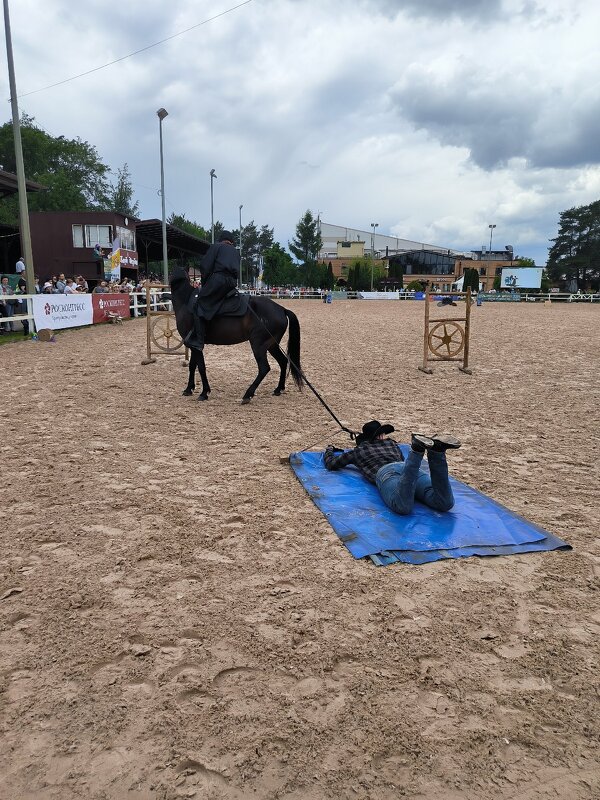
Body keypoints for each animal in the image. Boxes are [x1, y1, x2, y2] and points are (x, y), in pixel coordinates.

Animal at [170, 268, 304, 404]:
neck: (186, 302)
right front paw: (189, 389)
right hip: (272, 345)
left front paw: (204, 392)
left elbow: (201, 367)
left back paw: (248, 394)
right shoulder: (193, 345)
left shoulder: (196, 346)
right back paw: (278, 389)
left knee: (264, 368)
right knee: (283, 361)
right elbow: (192, 365)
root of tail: (281, 309)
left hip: (258, 345)